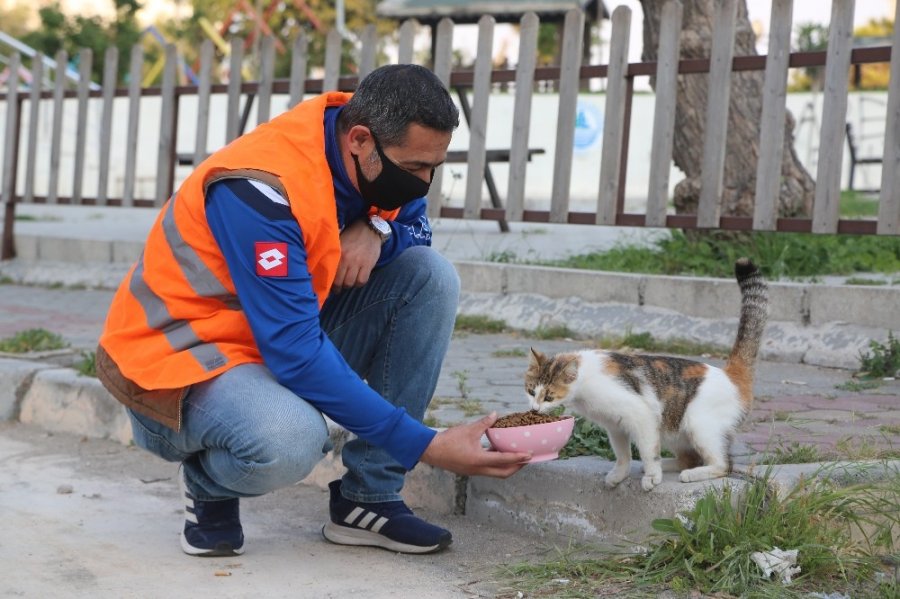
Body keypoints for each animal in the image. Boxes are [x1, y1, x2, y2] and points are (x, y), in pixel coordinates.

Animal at [528, 258, 768, 492]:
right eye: (530, 391)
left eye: (549, 396)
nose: (535, 409)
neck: (585, 382)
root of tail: (730, 373)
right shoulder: (615, 425)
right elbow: (622, 454)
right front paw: (620, 474)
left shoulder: (640, 416)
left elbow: (648, 451)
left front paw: (652, 477)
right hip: (673, 427)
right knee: (690, 458)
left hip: (698, 424)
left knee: (723, 464)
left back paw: (690, 474)